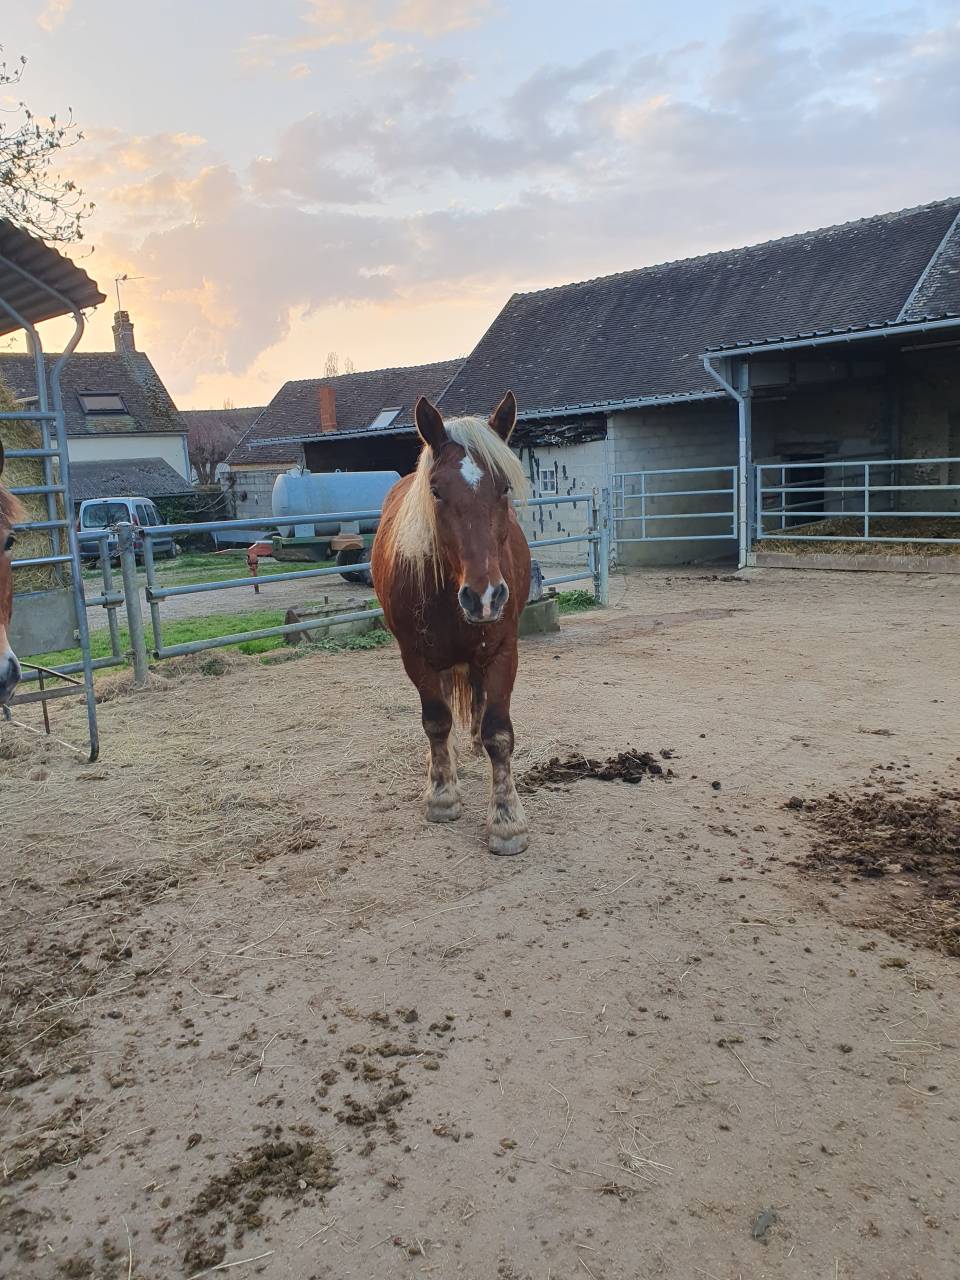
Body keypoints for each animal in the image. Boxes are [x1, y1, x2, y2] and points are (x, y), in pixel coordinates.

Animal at [371, 392, 532, 856]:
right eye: (437, 491)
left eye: (504, 487)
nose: (485, 596)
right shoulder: (416, 657)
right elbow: (436, 721)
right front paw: (442, 794)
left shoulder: (504, 651)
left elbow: (500, 733)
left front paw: (507, 821)